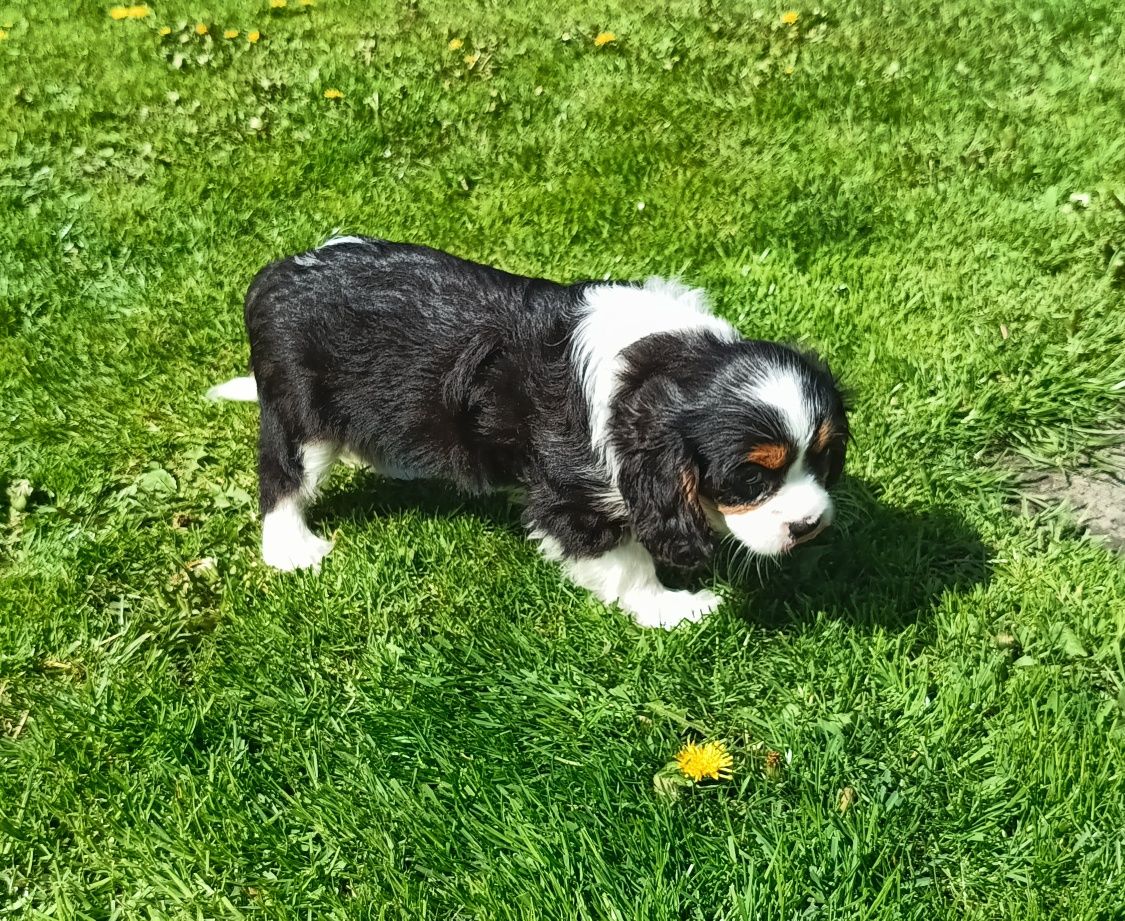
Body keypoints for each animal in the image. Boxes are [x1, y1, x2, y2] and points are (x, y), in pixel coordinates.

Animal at [209, 237, 846, 629]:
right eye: (750, 479)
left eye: (822, 460)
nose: (810, 524)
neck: (658, 361)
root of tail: (273, 277)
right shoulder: (573, 495)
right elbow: (628, 562)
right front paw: (669, 609)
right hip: (304, 415)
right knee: (282, 478)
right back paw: (290, 549)